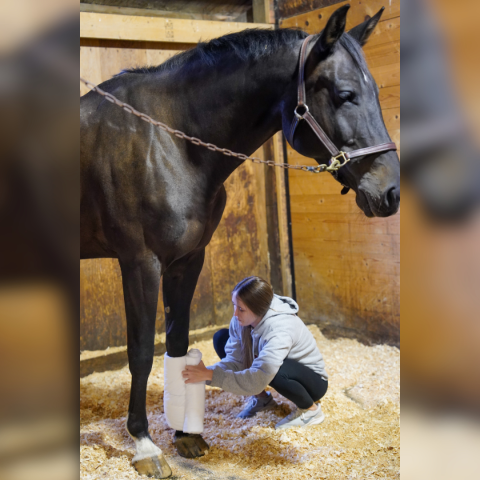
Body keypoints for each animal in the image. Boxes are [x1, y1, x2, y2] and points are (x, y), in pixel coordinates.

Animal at [80, 5, 400, 478]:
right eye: (345, 95)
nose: (390, 193)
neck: (168, 140)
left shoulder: (188, 260)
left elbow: (177, 343)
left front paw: (186, 434)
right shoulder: (140, 262)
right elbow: (140, 352)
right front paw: (144, 444)